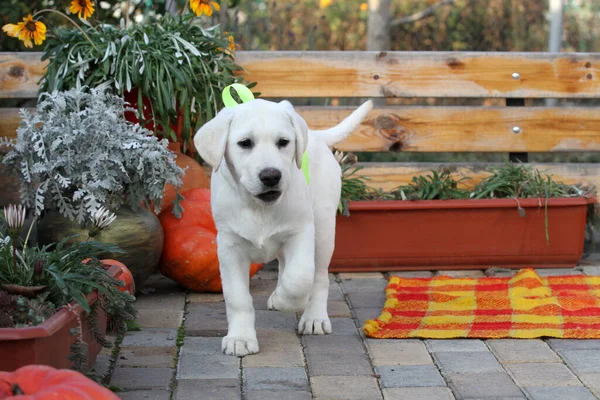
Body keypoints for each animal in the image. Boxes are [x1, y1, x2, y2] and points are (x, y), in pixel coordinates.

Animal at [193, 98, 370, 354]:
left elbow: (300, 277)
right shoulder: (229, 246)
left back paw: (313, 317)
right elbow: (237, 297)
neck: (259, 207)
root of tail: (315, 135)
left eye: (283, 142)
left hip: (324, 229)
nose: (271, 176)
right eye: (245, 143)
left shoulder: (301, 231)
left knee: (319, 276)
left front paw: (284, 300)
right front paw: (240, 338)